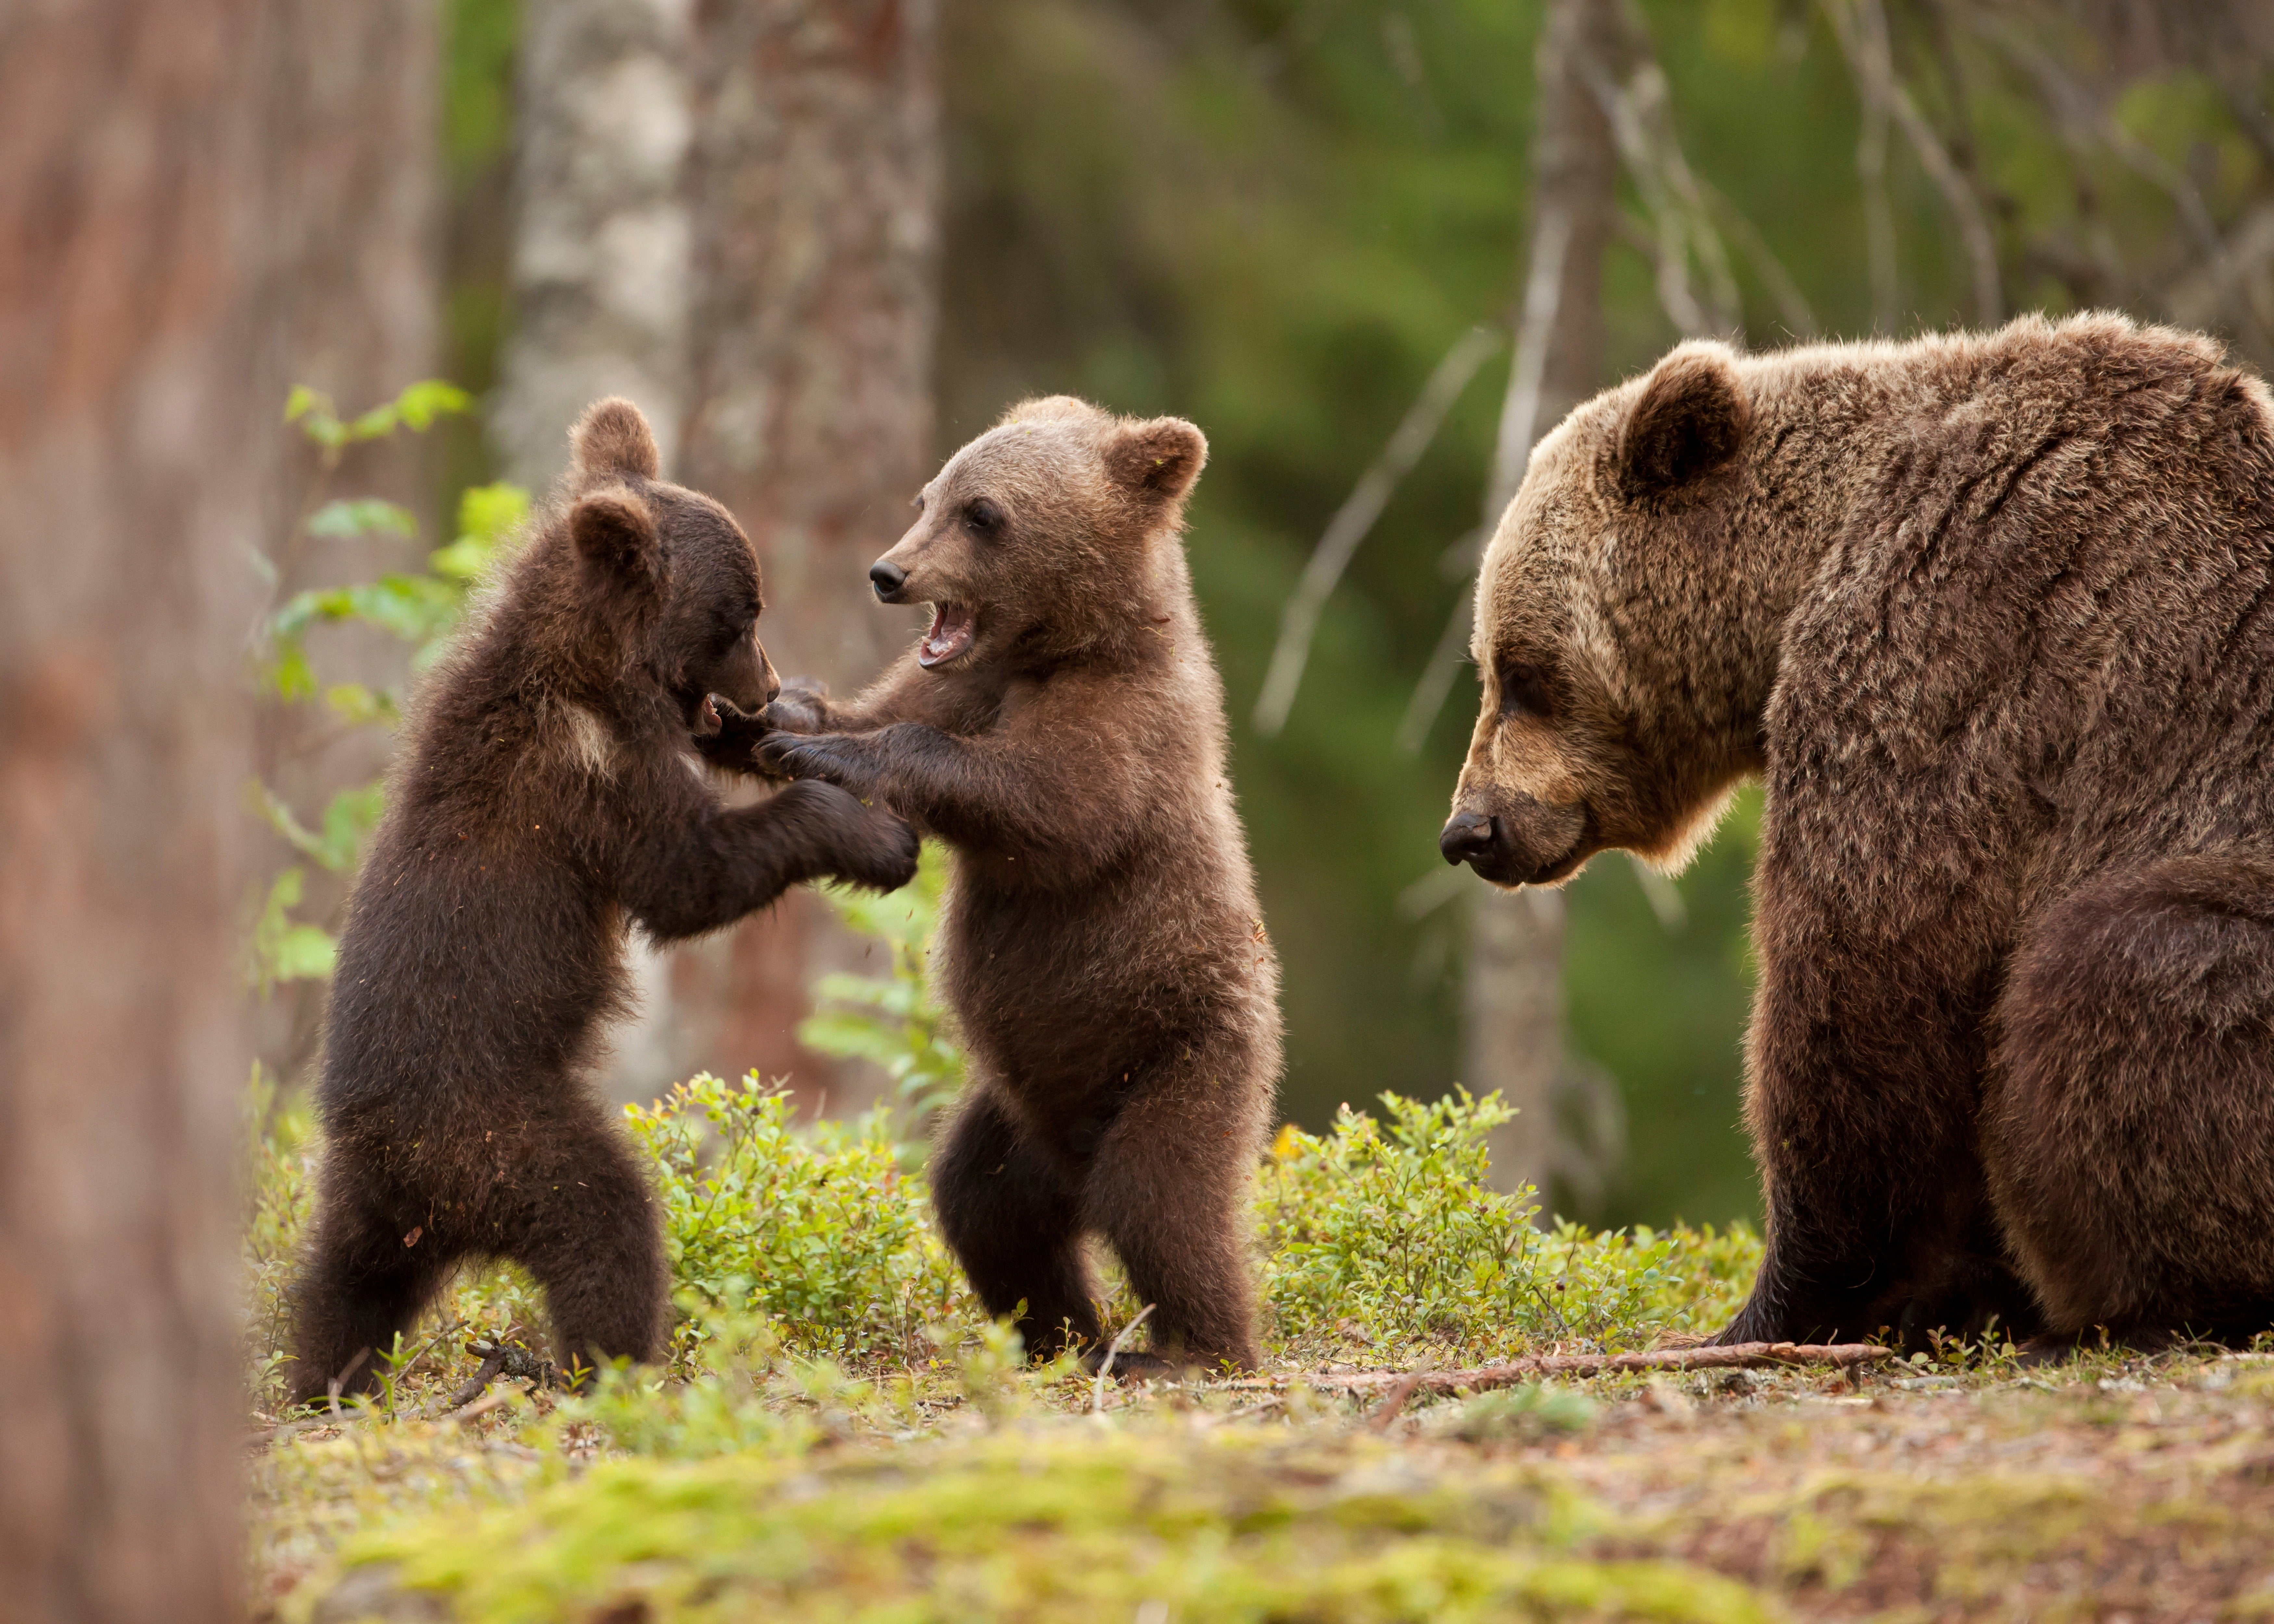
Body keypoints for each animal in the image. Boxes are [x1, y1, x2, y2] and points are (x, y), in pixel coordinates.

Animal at [287, 398, 920, 1406]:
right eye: (741, 615)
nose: (766, 683)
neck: (593, 673)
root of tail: (407, 1172)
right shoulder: (588, 779)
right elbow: (688, 877)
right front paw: (873, 835)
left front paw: (797, 729)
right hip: (502, 1134)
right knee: (605, 1220)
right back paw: (609, 1364)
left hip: (370, 1203)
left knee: (342, 1288)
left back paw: (323, 1381)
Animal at [740, 395, 1282, 1374]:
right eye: (928, 495)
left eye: (983, 513)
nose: (888, 572)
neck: (1061, 648)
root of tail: (1072, 1157)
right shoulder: (964, 682)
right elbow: (884, 711)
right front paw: (787, 713)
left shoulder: (1129, 728)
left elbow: (1050, 807)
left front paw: (831, 750)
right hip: (1018, 1113)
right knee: (984, 1205)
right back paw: (1063, 1335)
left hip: (1182, 1054)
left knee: (1163, 1200)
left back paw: (1193, 1347)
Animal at [1439, 313, 2274, 1352]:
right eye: (1492, 664)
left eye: (1521, 673)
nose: (1470, 829)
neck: (1801, 568)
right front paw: (1954, 1290)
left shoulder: (1954, 645)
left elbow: (1869, 972)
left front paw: (1781, 1303)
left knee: (2120, 961)